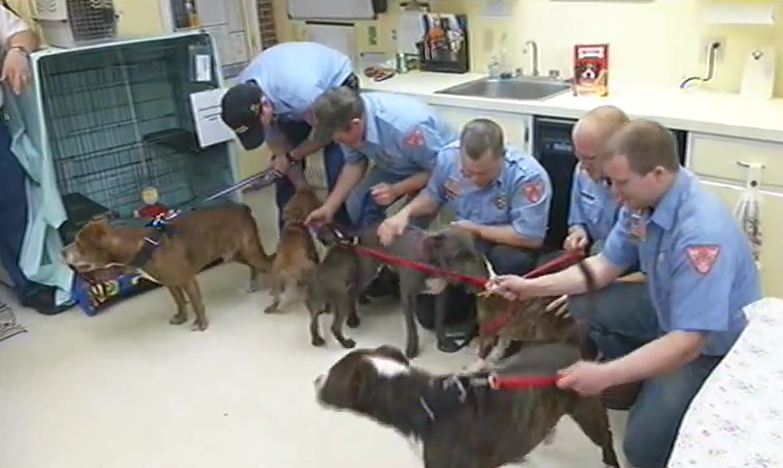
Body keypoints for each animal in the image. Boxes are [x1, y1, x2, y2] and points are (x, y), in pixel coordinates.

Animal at [60, 204, 272, 330]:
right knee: (254, 267)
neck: (142, 246)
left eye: (78, 244)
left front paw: (201, 324)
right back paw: (254, 283)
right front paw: (181, 317)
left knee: (268, 263)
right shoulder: (171, 284)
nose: (62, 252)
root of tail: (243, 208)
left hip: (249, 251)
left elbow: (197, 304)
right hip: (235, 254)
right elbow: (180, 302)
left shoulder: (187, 280)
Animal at [312, 342, 620, 466]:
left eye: (332, 375)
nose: (315, 379)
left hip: (589, 411)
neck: (422, 401)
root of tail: (574, 349)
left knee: (606, 439)